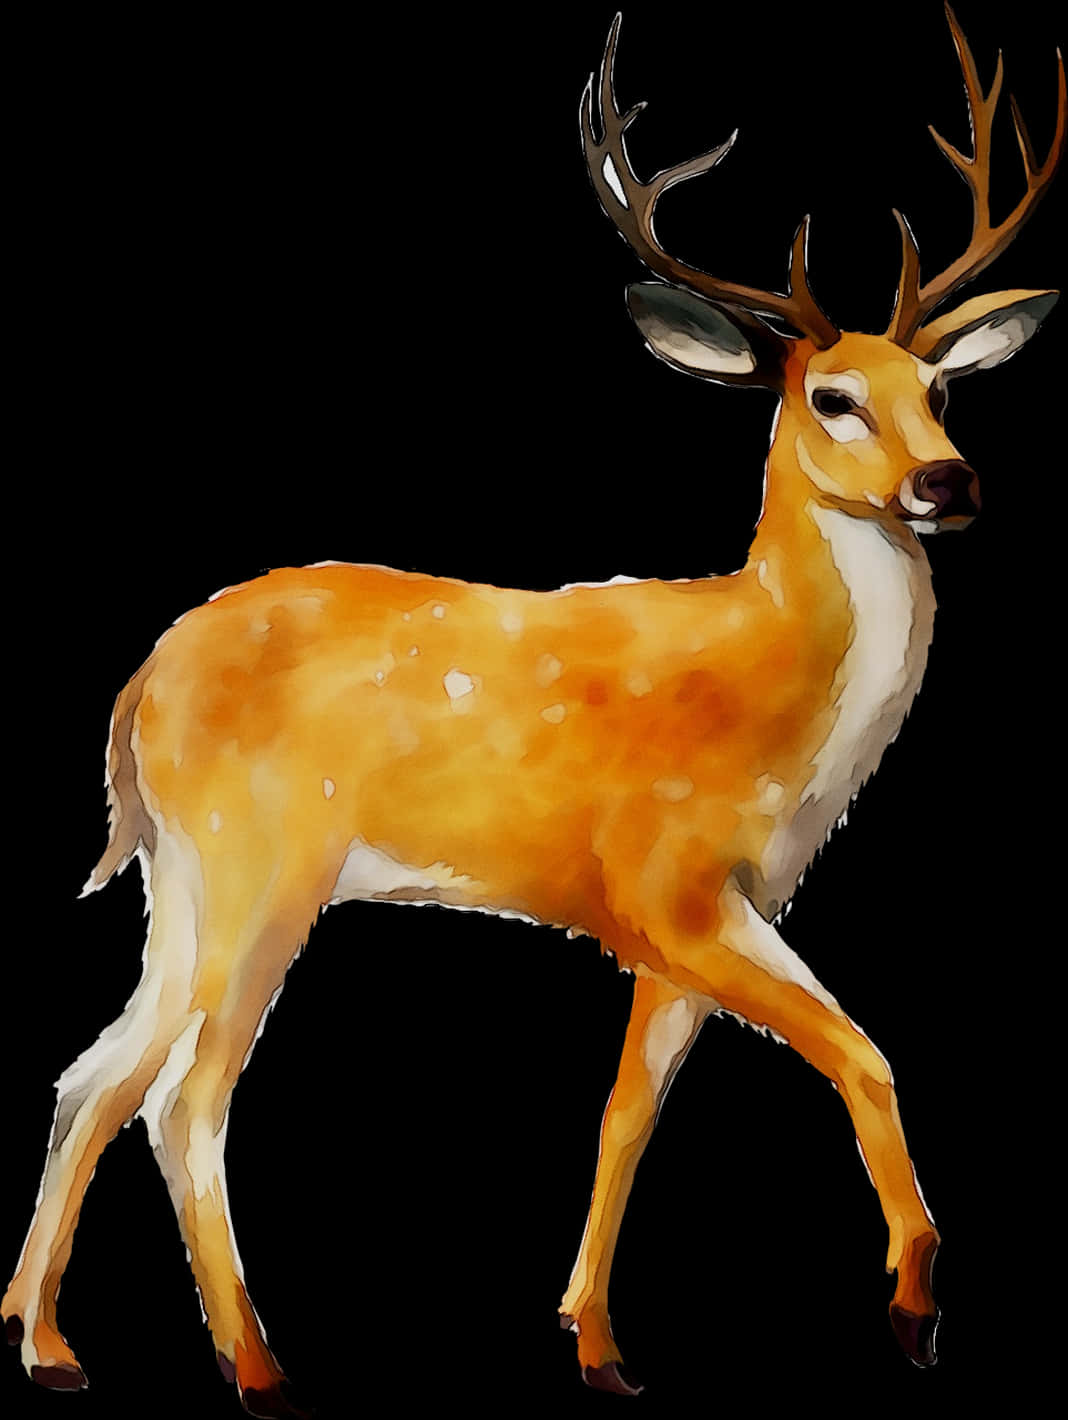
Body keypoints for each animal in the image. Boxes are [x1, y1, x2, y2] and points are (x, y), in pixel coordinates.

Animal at [3, 6, 1064, 1413]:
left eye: (939, 392)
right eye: (831, 396)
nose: (950, 484)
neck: (783, 707)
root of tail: (135, 691)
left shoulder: (723, 905)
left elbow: (627, 1109)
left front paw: (600, 1345)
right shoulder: (662, 883)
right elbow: (862, 1050)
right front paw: (912, 1306)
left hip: (179, 874)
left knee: (94, 1073)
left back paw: (46, 1342)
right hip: (261, 862)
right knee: (189, 1093)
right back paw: (258, 1366)